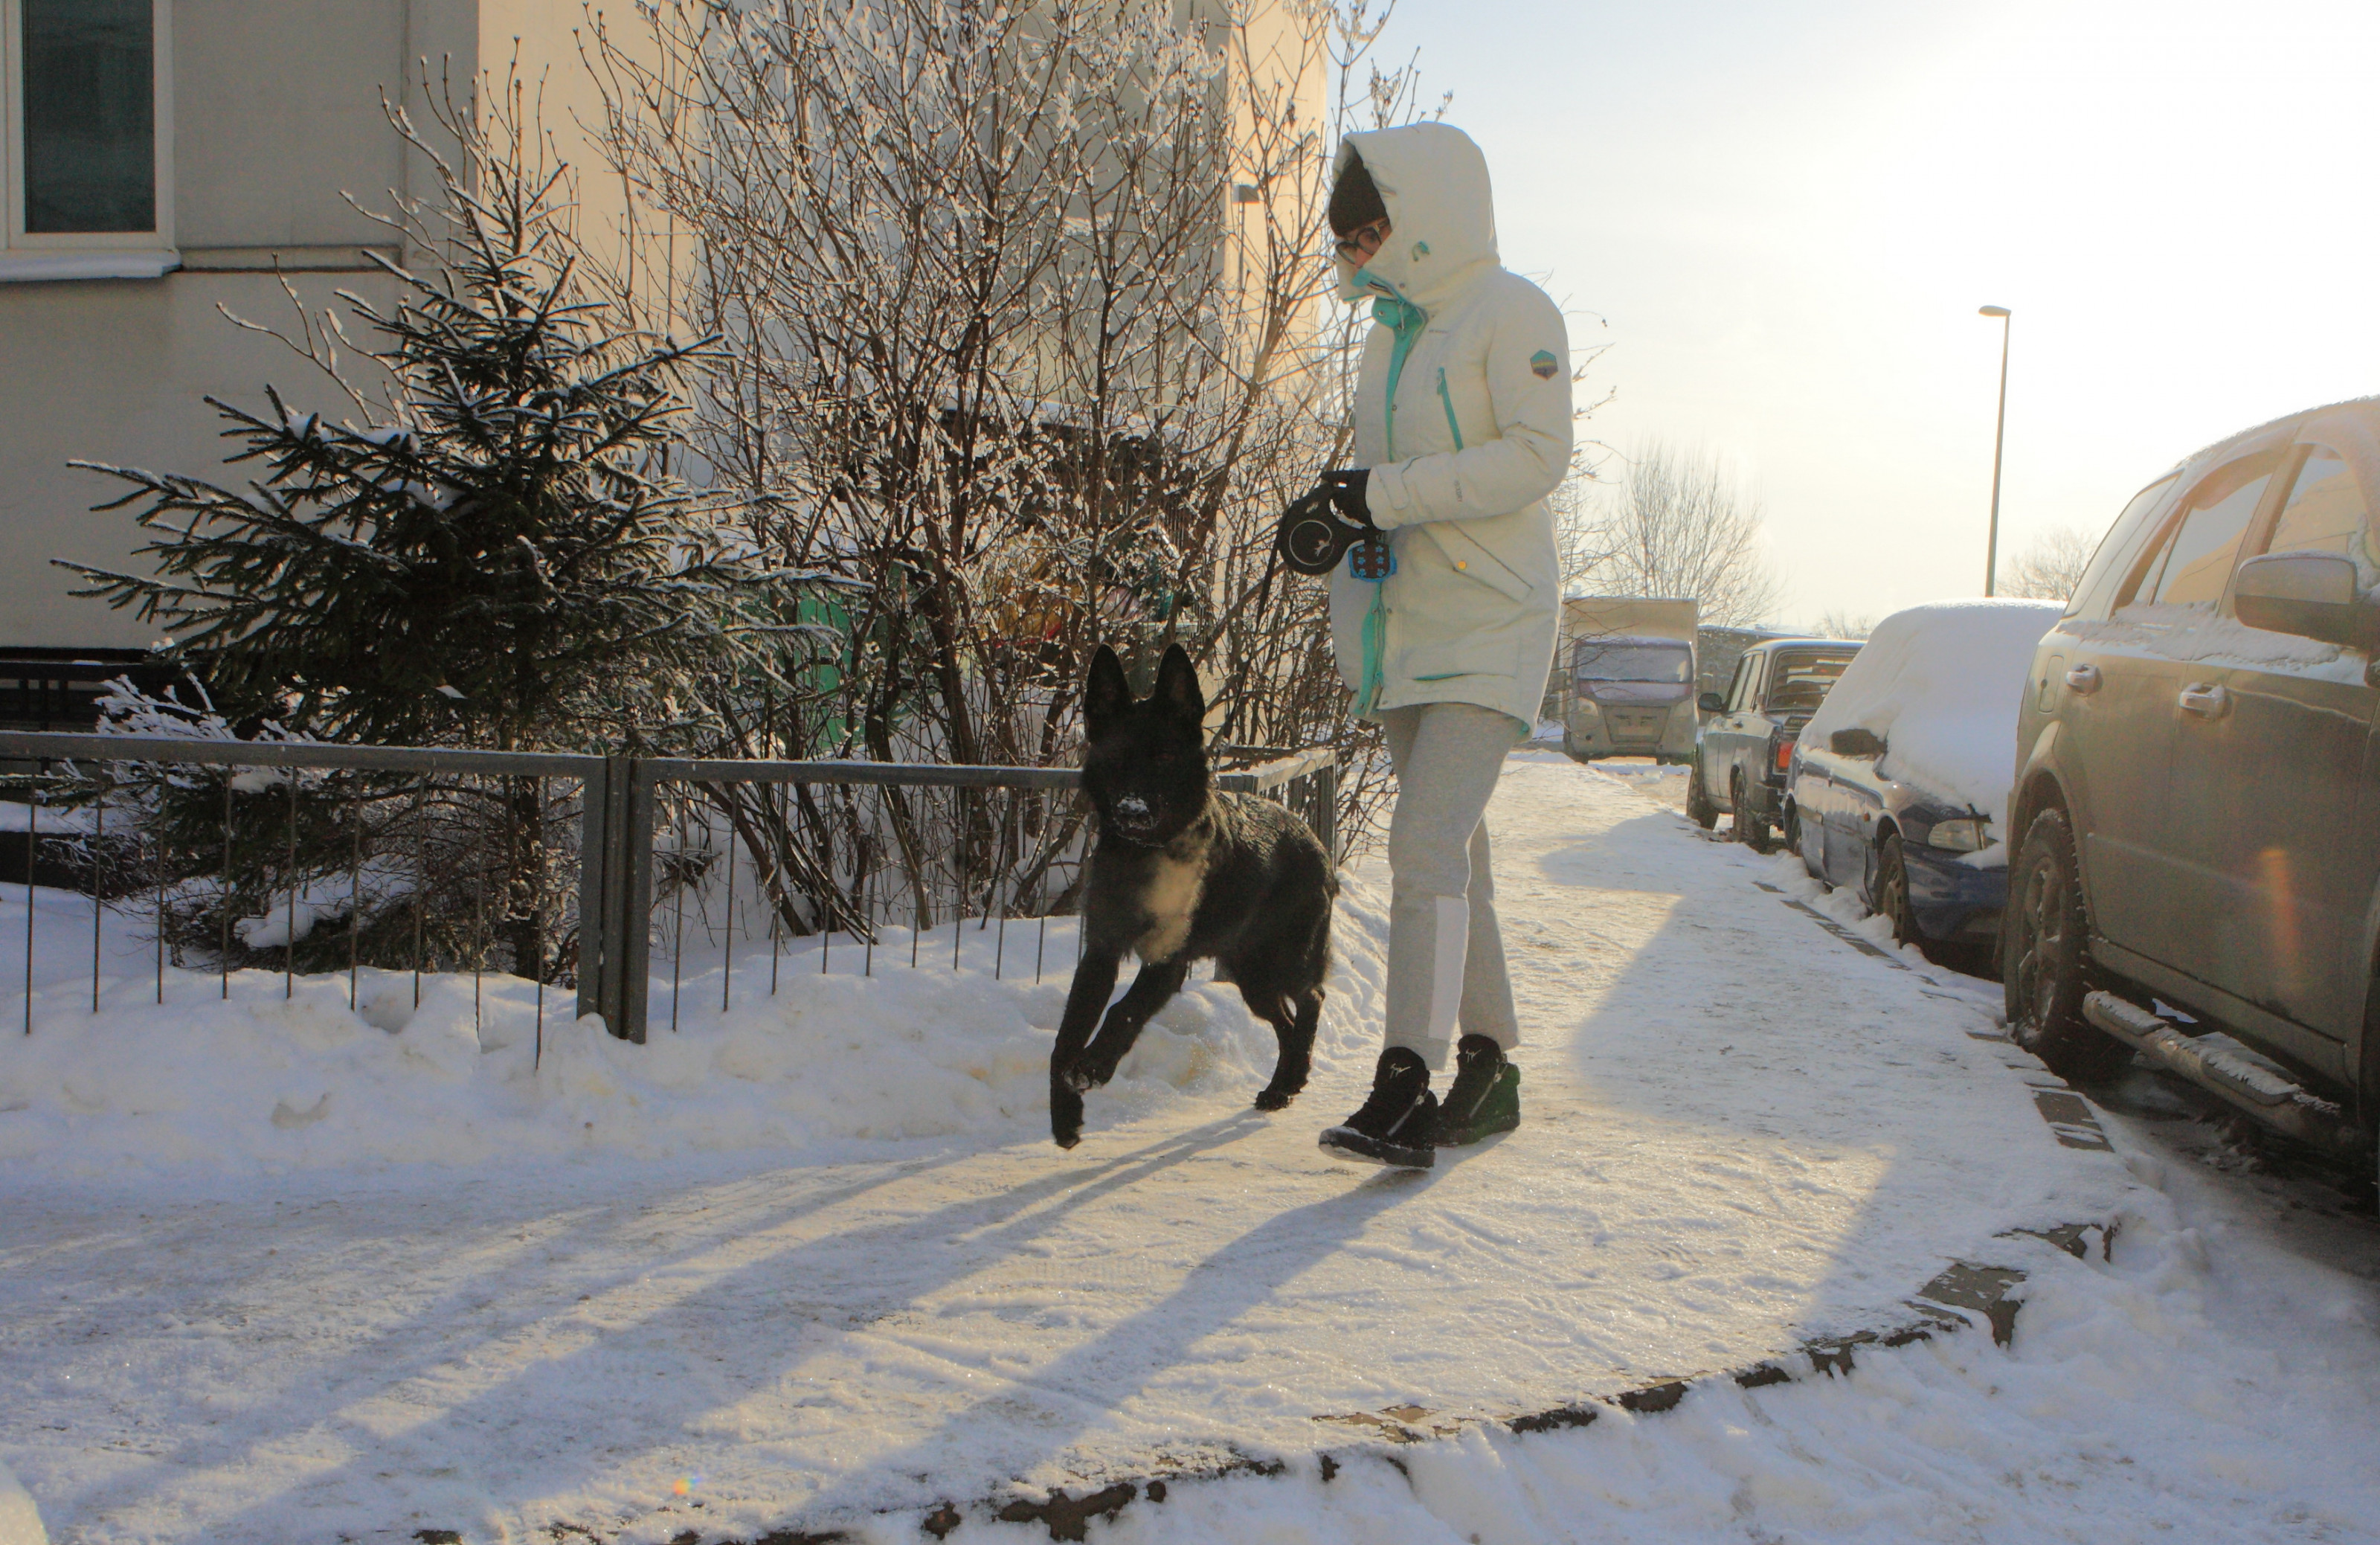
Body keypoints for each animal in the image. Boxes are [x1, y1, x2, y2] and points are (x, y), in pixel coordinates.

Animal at [1047, 637, 1333, 1143]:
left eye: (1164, 759)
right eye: (1116, 759)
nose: (1132, 813)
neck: (1144, 853)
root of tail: (1313, 840)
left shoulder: (1168, 960)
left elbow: (1123, 1011)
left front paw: (1095, 1066)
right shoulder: (1100, 951)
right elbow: (1067, 1034)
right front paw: (1064, 1115)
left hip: (1284, 959)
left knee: (1311, 999)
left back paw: (1290, 1079)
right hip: (1252, 974)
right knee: (1284, 1021)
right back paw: (1286, 1083)